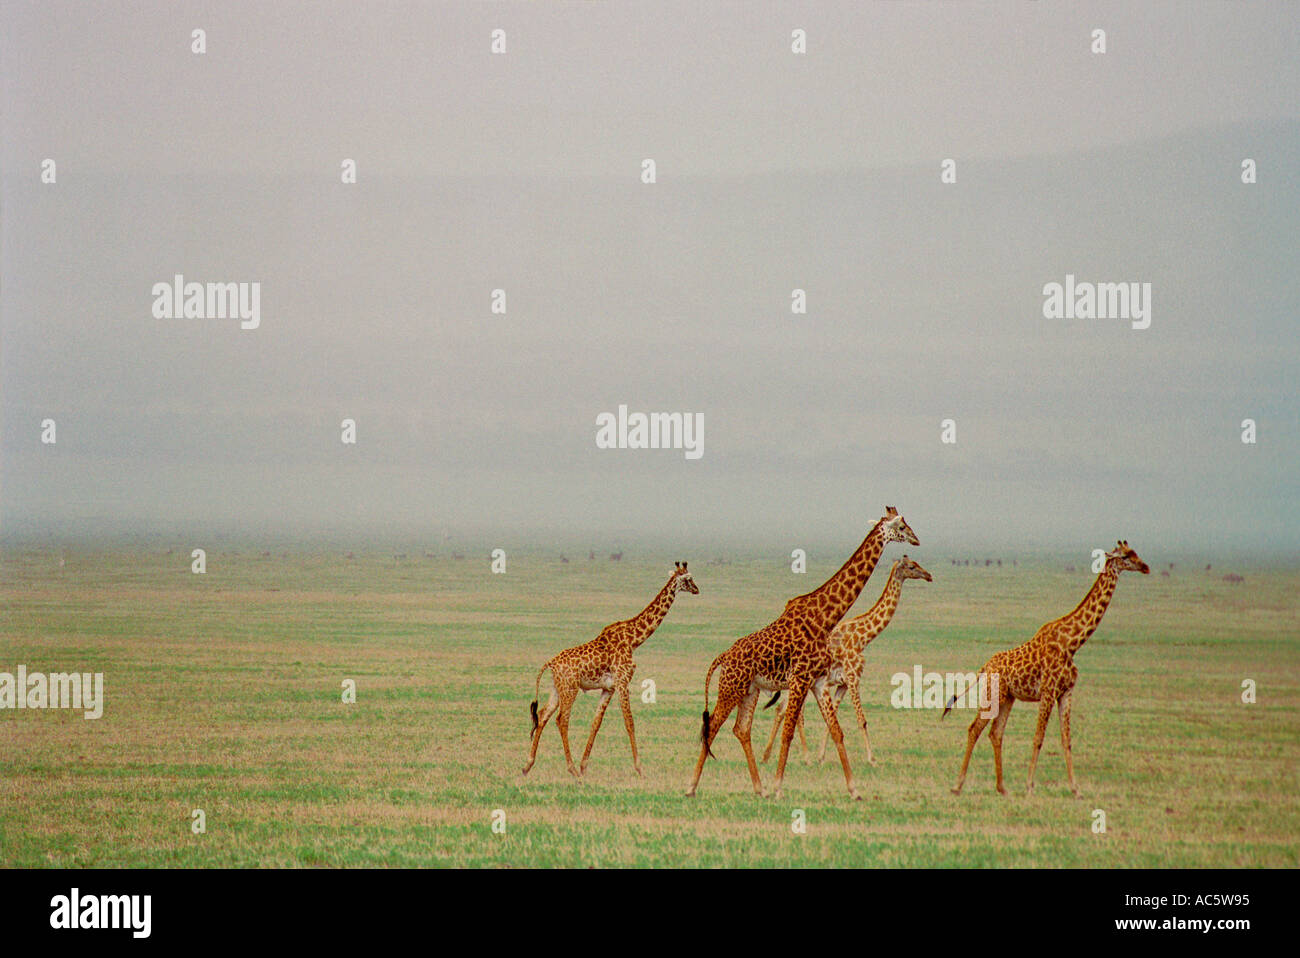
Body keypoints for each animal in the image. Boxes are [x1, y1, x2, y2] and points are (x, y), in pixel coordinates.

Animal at [523, 561, 698, 778]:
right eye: (688, 579)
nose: (697, 589)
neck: (634, 640)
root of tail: (550, 663)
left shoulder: (609, 688)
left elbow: (596, 723)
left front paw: (584, 766)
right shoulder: (623, 682)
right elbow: (629, 722)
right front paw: (640, 769)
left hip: (557, 688)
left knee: (543, 715)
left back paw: (528, 765)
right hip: (570, 688)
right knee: (561, 720)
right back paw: (571, 769)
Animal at [760, 555, 933, 766]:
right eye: (911, 567)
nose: (929, 575)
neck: (862, 638)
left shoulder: (842, 684)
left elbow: (831, 719)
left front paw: (822, 756)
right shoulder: (853, 678)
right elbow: (861, 720)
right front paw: (872, 759)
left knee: (781, 709)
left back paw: (769, 756)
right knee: (794, 713)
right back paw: (803, 757)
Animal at [945, 540, 1149, 797]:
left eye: (1136, 552)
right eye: (1125, 556)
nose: (1145, 567)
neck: (1072, 643)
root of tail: (984, 666)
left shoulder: (1066, 693)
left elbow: (1066, 739)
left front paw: (1075, 789)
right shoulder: (1048, 692)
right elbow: (1038, 737)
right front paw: (1029, 786)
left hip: (1007, 697)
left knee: (996, 733)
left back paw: (1002, 787)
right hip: (994, 694)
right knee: (975, 728)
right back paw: (957, 785)